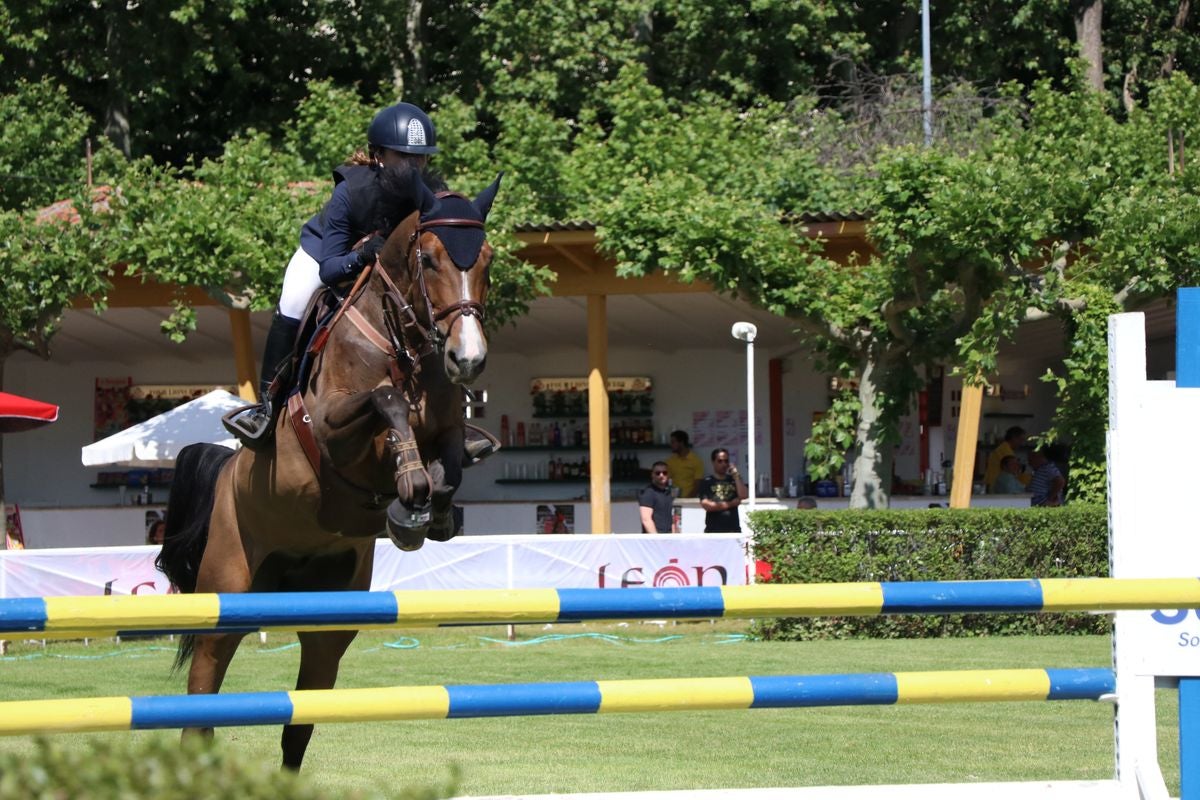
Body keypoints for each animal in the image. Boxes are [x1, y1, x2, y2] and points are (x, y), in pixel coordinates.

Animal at [157, 173, 499, 767]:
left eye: (488, 260)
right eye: (429, 260)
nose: (468, 359)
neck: (400, 343)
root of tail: (226, 470)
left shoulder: (448, 427)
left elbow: (451, 464)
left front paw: (423, 514)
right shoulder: (331, 429)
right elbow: (386, 401)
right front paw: (410, 489)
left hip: (328, 621)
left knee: (300, 720)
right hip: (228, 592)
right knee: (203, 695)